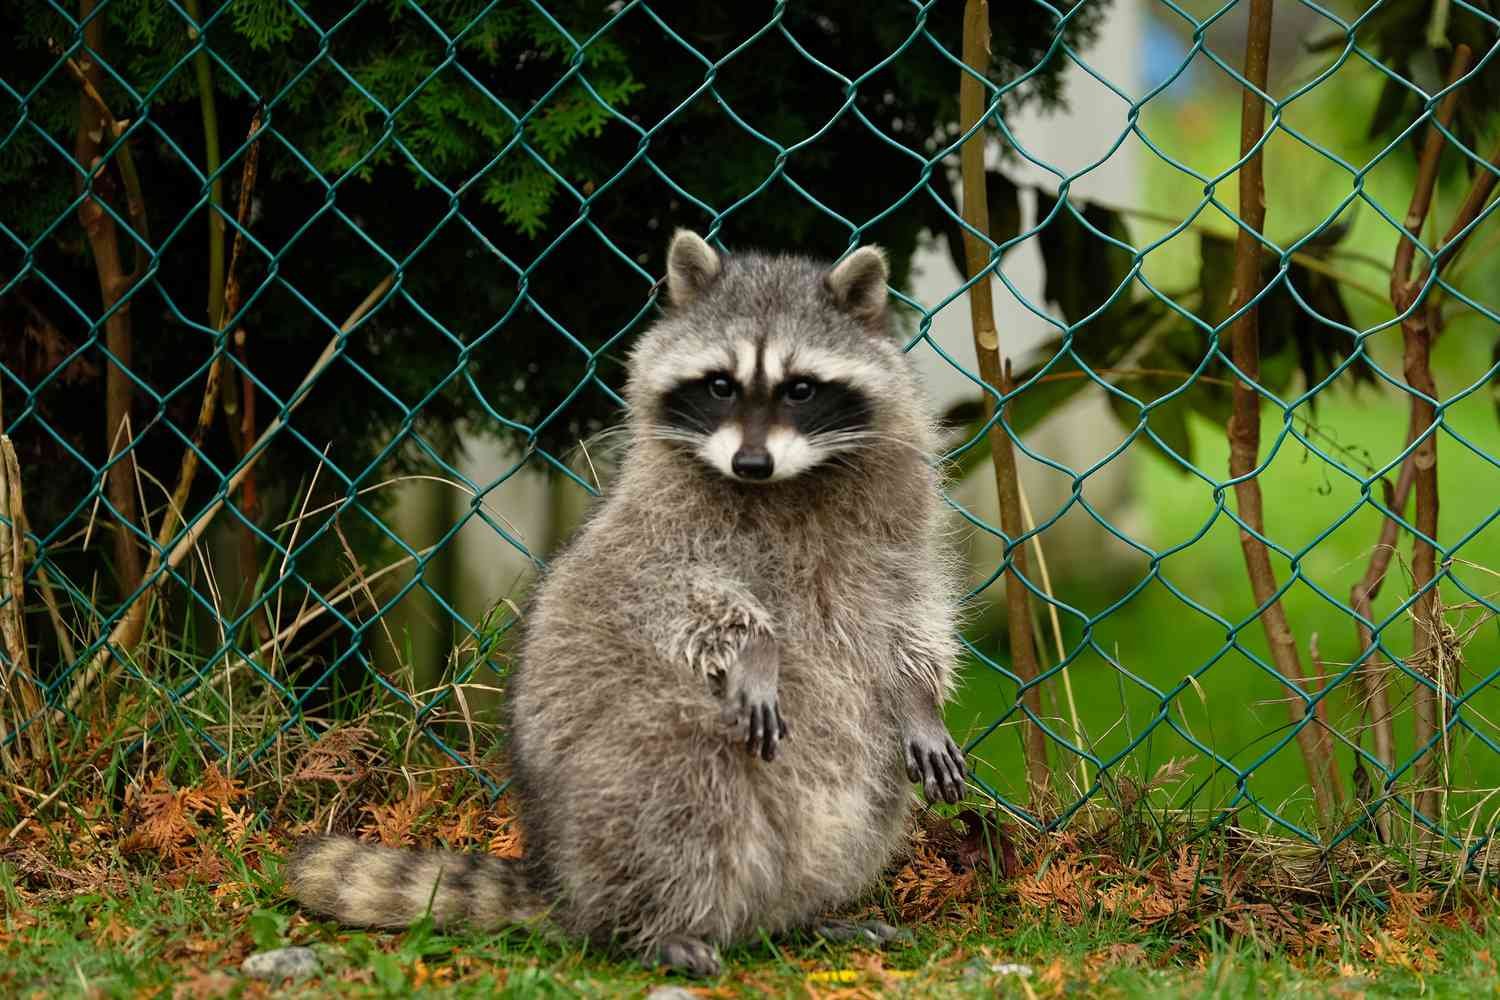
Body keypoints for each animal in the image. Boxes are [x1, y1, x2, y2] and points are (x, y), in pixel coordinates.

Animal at [287, 231, 966, 976]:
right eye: (721, 384)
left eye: (802, 388)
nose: (751, 464)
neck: (787, 482)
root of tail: (565, 879)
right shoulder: (655, 521)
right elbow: (671, 589)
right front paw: (756, 645)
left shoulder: (898, 516)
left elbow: (911, 608)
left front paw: (920, 696)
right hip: (632, 760)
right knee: (681, 787)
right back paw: (650, 928)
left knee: (866, 794)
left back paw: (799, 918)